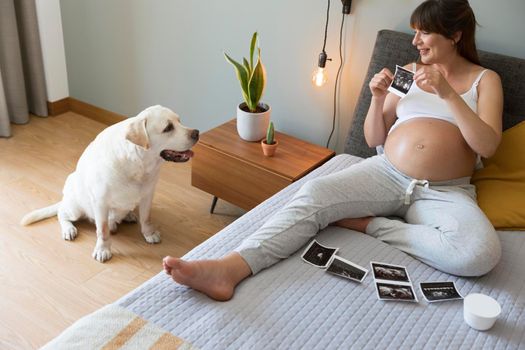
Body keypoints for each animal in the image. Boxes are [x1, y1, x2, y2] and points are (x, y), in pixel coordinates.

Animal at [20, 105, 199, 262]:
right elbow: (103, 230)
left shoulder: (148, 194)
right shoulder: (100, 203)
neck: (138, 164)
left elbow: (146, 218)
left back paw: (128, 215)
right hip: (74, 207)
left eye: (179, 120)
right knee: (61, 213)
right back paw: (69, 229)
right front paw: (102, 250)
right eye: (168, 128)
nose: (196, 133)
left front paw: (149, 233)